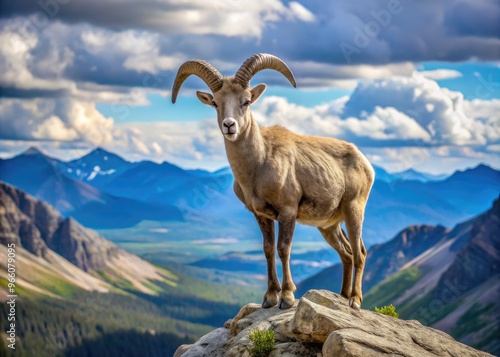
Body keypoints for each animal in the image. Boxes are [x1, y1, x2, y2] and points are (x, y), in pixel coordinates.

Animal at [174, 52, 374, 308]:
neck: (259, 165)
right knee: (347, 253)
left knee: (360, 252)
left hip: (353, 209)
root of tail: (365, 163)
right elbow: (268, 249)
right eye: (216, 103)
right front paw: (269, 297)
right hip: (329, 225)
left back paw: (355, 300)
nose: (229, 126)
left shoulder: (287, 211)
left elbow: (283, 249)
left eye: (246, 101)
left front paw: (287, 297)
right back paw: (342, 295)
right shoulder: (262, 215)